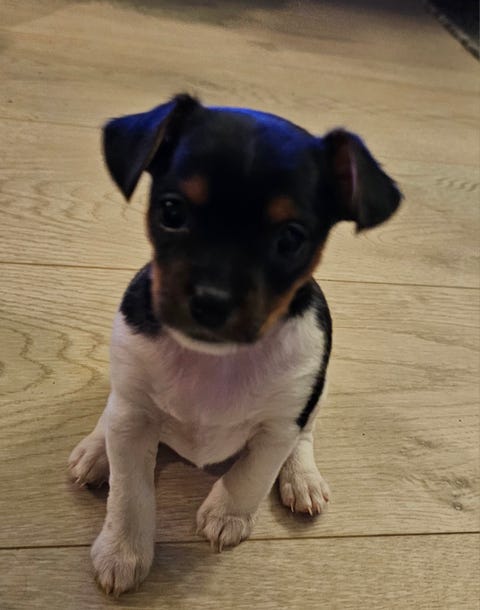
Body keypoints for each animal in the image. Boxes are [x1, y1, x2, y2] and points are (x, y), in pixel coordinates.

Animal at [68, 93, 402, 596]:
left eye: (291, 238)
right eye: (172, 212)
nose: (211, 300)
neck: (216, 360)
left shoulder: (281, 422)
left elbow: (253, 472)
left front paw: (227, 514)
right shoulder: (133, 417)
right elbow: (131, 494)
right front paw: (122, 551)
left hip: (315, 394)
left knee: (306, 435)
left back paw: (301, 478)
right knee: (111, 412)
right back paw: (95, 451)